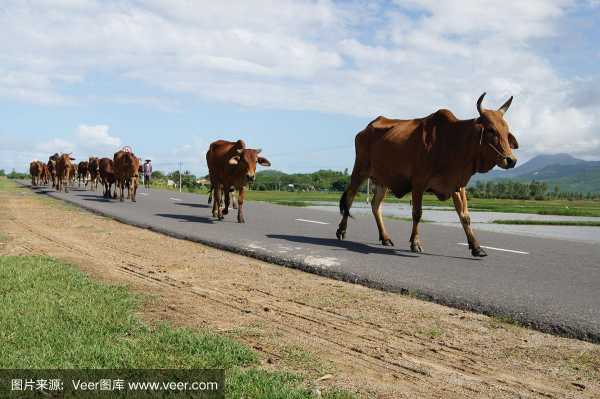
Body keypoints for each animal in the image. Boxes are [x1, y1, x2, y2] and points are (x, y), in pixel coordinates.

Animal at [336, 93, 516, 260]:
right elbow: (417, 213)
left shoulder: (458, 186)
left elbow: (465, 216)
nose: (511, 160)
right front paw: (415, 243)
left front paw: (476, 247)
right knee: (350, 198)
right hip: (360, 171)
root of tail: (365, 129)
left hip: (382, 181)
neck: (452, 141)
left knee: (375, 205)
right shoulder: (419, 183)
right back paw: (341, 231)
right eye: (491, 130)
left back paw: (385, 238)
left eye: (506, 131)